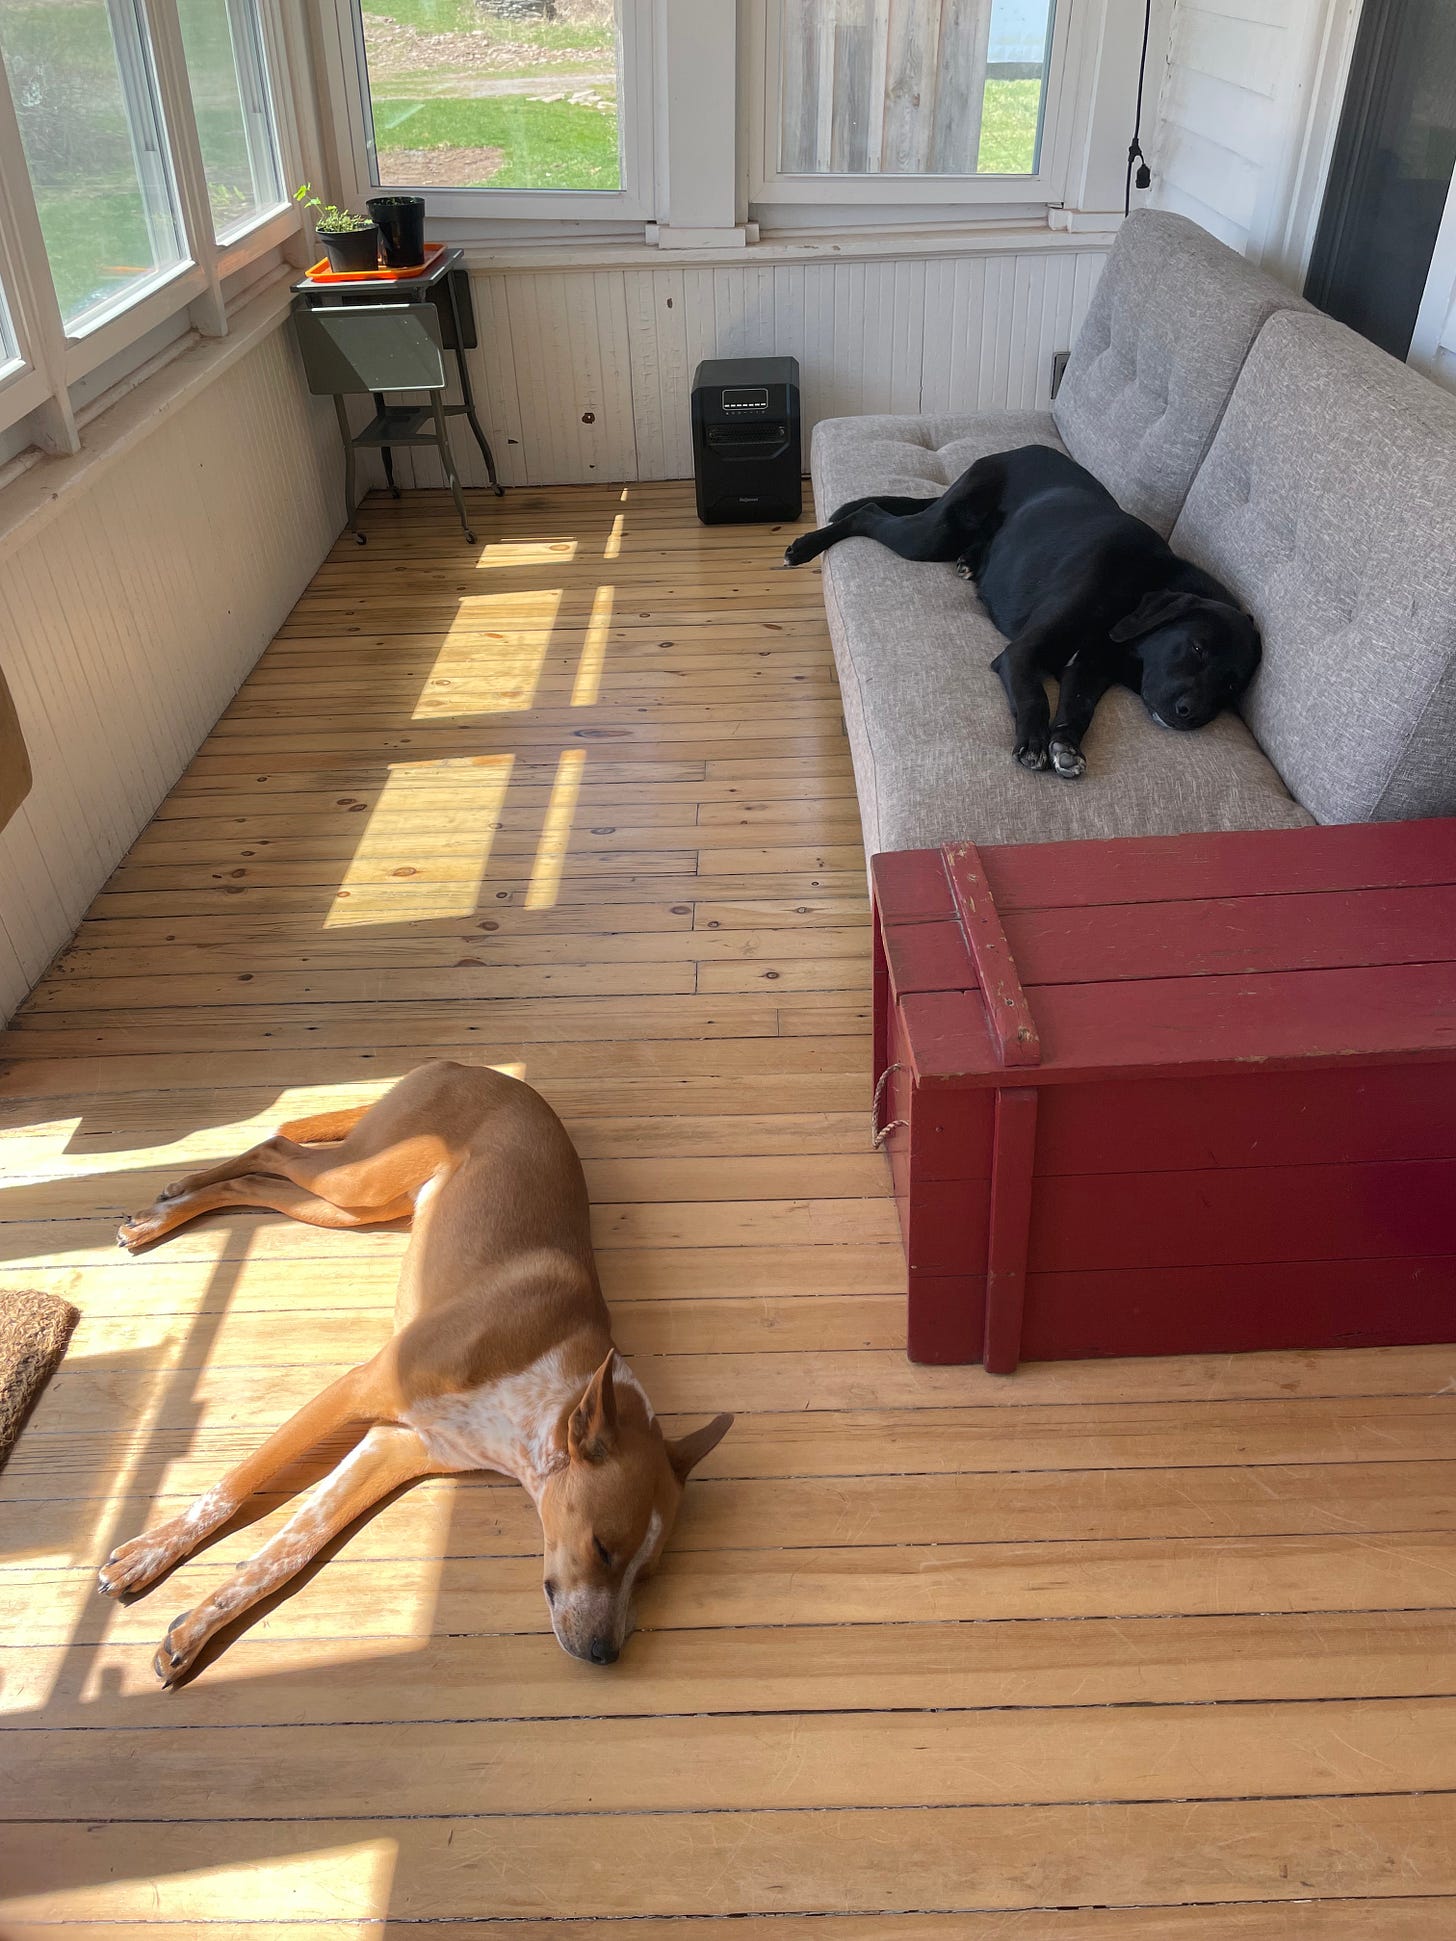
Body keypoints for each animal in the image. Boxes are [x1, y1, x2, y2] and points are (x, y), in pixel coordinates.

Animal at [101, 1063, 733, 1684]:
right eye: (602, 1548)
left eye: (645, 1575)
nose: (607, 1655)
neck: (546, 1399)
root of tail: (477, 1068)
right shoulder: (355, 1388)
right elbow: (232, 1490)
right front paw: (149, 1554)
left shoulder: (394, 1448)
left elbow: (288, 1551)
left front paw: (193, 1630)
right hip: (360, 1179)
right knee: (276, 1147)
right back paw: (168, 1204)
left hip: (356, 1207)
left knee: (262, 1183)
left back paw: (169, 1208)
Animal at [788, 444, 1265, 776]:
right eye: (1197, 648)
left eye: (1232, 685)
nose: (1193, 716)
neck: (1138, 589)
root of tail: (1010, 450)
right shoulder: (1022, 653)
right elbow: (1035, 695)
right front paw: (1034, 744)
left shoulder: (1088, 669)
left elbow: (1079, 708)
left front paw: (1066, 747)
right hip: (932, 535)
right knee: (869, 513)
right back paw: (807, 546)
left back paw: (971, 562)